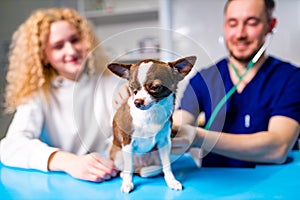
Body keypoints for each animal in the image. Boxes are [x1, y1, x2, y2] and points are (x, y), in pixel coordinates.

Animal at [108, 55, 197, 193]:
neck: (150, 114)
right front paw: (127, 183)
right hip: (118, 155)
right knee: (129, 168)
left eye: (155, 87)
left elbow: (167, 166)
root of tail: (140, 165)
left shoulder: (165, 143)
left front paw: (171, 181)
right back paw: (124, 174)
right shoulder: (127, 143)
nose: (137, 102)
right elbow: (129, 167)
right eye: (132, 88)